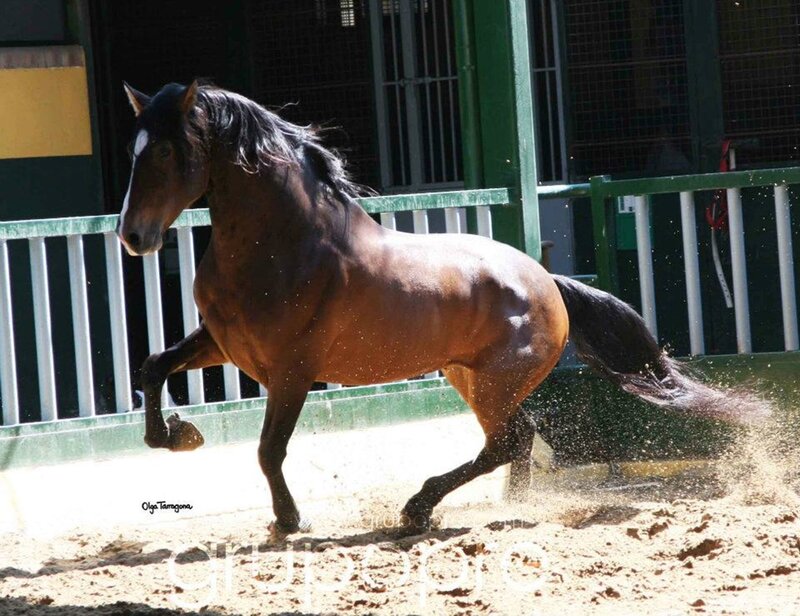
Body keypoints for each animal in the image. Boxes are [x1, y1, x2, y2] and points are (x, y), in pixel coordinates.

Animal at [117, 80, 765, 538]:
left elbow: (268, 450)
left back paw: (417, 509)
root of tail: (548, 283)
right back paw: (508, 506)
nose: (132, 237)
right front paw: (178, 435)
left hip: (495, 381)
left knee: (507, 443)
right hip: (469, 377)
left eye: (168, 151)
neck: (285, 243)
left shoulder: (291, 372)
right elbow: (153, 366)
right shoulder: (223, 345)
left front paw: (288, 520)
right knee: (516, 442)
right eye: (133, 150)